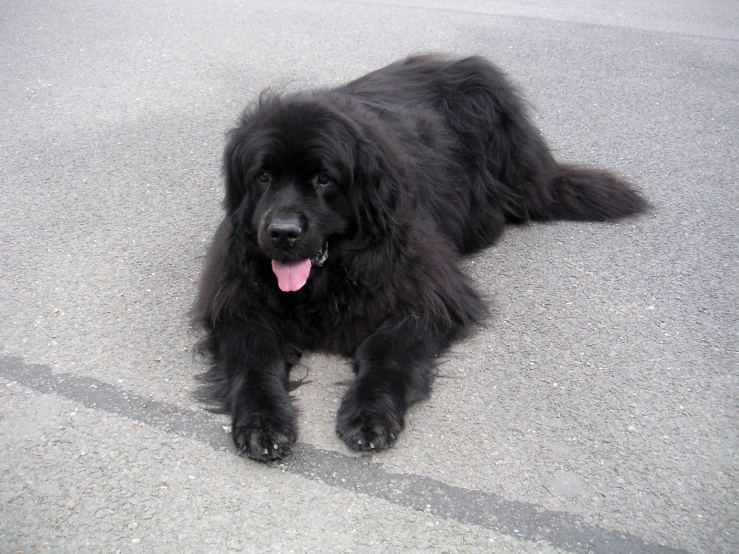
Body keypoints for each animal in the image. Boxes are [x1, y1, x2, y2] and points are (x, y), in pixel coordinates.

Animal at [194, 54, 652, 460]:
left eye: (324, 179)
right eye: (263, 176)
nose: (283, 232)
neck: (333, 275)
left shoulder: (426, 291)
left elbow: (388, 347)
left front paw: (369, 415)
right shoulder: (236, 298)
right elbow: (254, 357)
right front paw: (262, 423)